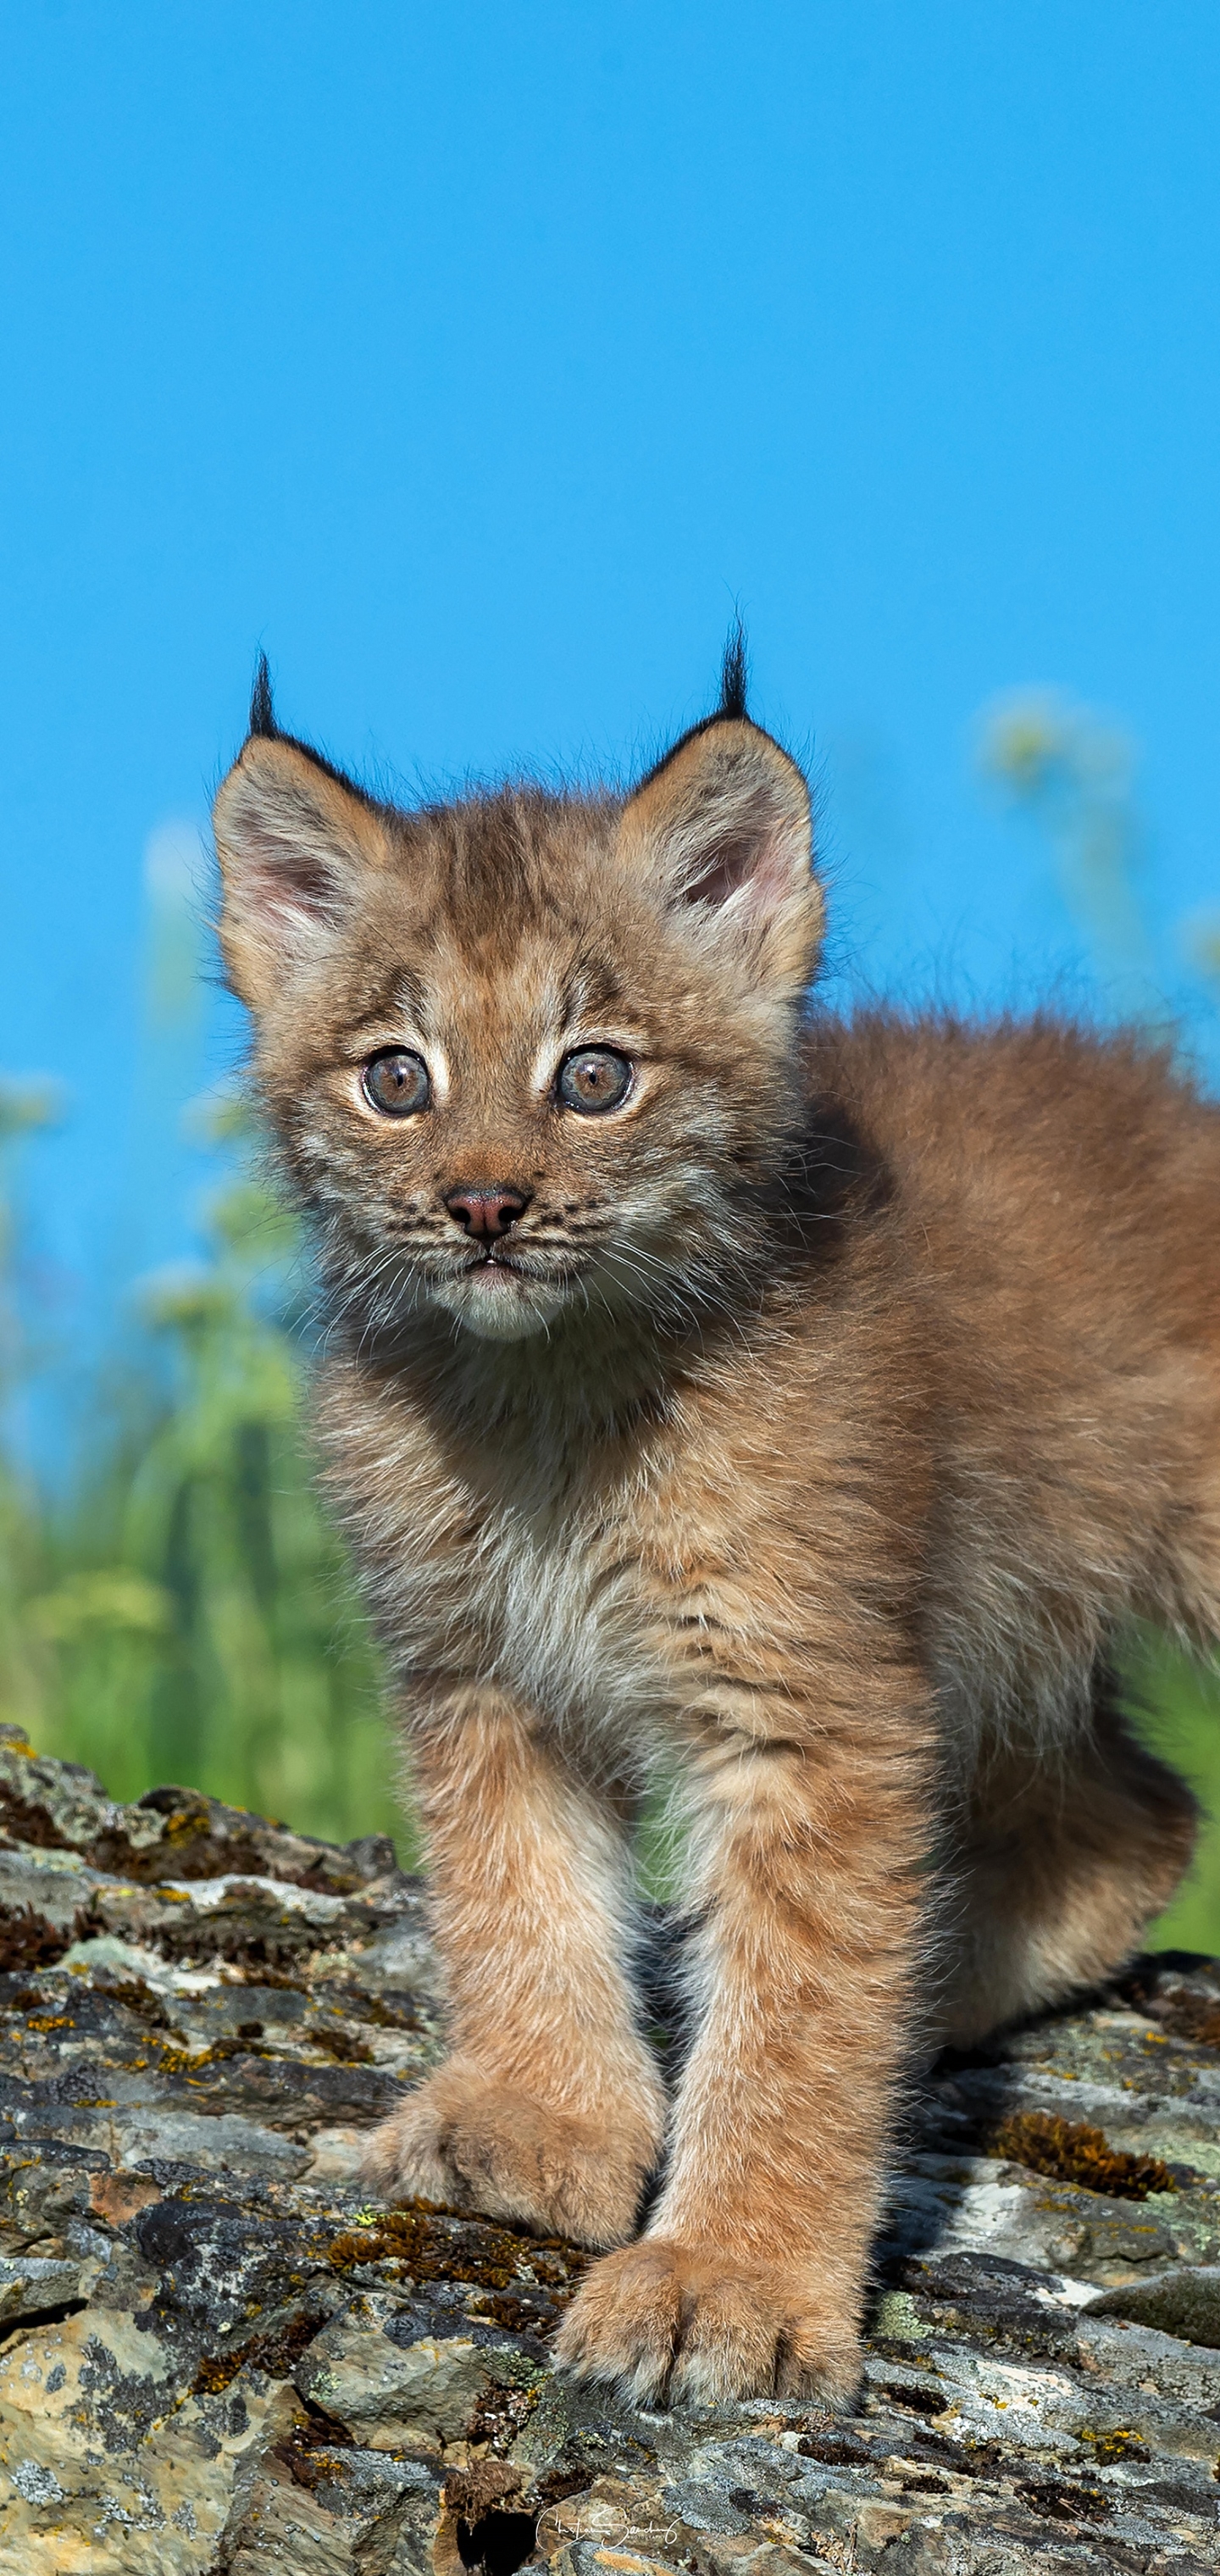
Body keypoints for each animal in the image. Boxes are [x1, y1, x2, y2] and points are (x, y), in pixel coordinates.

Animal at [214, 649, 1214, 2411]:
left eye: (594, 1075)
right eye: (396, 1079)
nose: (483, 1207)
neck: (549, 1395)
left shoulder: (810, 1700)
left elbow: (800, 2004)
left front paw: (728, 2278)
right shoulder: (480, 1668)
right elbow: (513, 1895)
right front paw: (537, 2115)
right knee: (1140, 1812)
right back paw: (932, 1975)